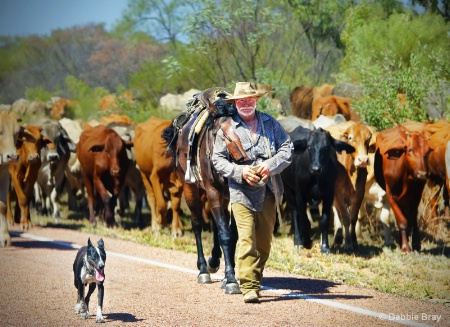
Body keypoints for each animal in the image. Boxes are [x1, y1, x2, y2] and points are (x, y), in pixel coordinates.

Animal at [161, 87, 239, 294]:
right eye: (216, 133)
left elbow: (231, 233)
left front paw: (228, 275)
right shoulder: (212, 191)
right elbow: (225, 234)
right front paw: (231, 280)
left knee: (215, 225)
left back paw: (214, 261)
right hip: (191, 189)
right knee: (197, 224)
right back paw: (203, 268)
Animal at [372, 123, 428, 254]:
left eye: (427, 153)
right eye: (410, 150)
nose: (422, 174)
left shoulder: (416, 195)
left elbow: (412, 218)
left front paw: (414, 243)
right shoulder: (391, 195)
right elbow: (402, 221)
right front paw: (405, 246)